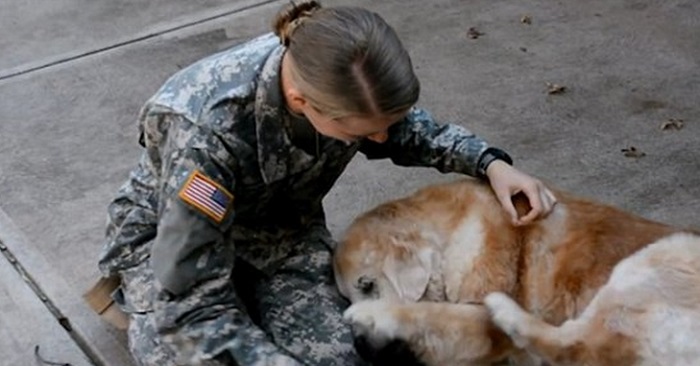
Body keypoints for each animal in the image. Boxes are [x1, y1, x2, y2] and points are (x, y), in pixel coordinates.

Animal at [334, 177, 700, 364]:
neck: (448, 237)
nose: (361, 348)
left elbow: (433, 314)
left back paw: (505, 310)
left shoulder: (481, 320)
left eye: (366, 285)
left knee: (576, 343)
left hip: (668, 251)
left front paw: (376, 313)